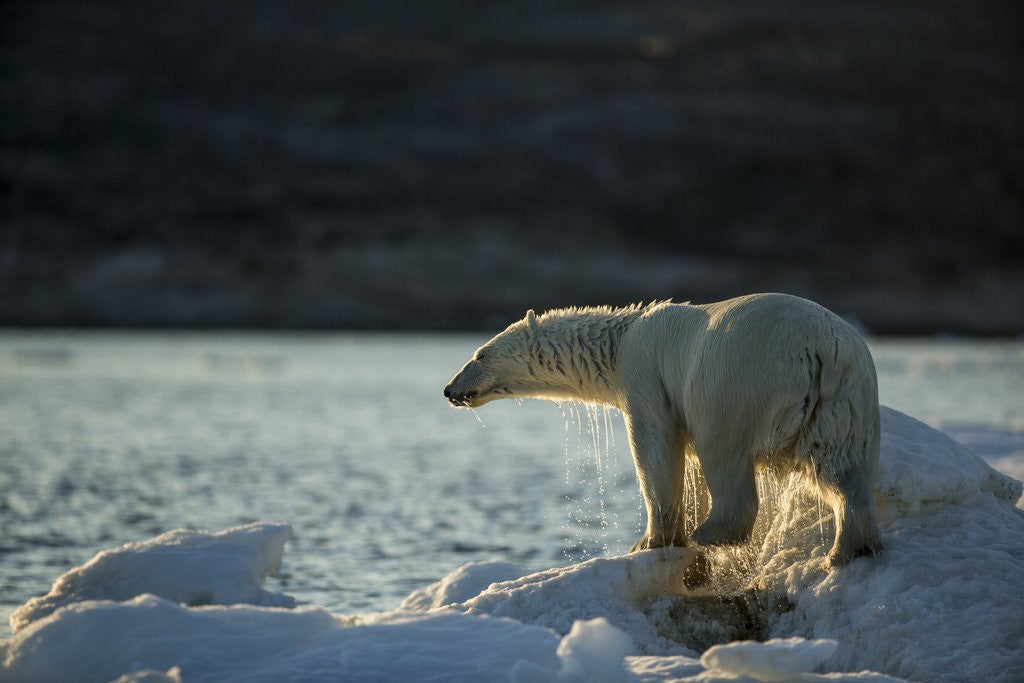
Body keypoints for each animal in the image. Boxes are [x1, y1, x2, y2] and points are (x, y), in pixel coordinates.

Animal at [444, 293, 883, 568]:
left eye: (479, 354)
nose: (450, 390)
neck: (619, 341)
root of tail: (821, 347)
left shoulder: (645, 374)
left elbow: (654, 448)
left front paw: (650, 540)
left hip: (736, 380)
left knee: (724, 452)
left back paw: (713, 533)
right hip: (847, 397)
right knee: (841, 468)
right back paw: (848, 548)